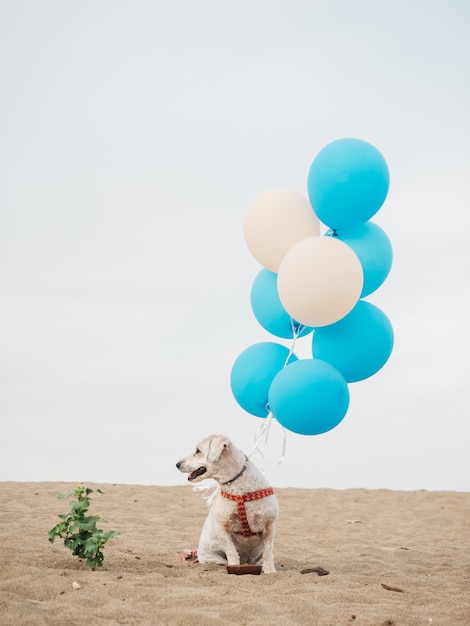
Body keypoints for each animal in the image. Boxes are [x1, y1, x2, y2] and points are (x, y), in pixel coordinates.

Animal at [176, 434, 280, 572]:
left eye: (198, 450)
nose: (177, 464)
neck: (238, 489)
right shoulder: (223, 526)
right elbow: (231, 551)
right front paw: (235, 567)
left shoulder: (269, 525)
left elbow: (268, 552)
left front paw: (270, 571)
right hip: (211, 557)